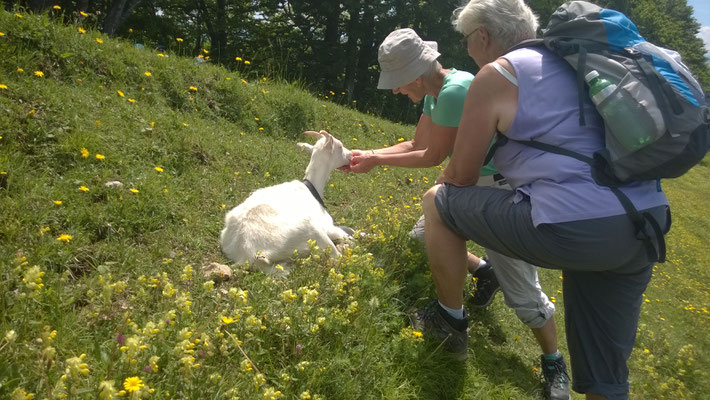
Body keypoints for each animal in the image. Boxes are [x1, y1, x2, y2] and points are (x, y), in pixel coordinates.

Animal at [221, 130, 354, 274]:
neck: (311, 187)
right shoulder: (327, 225)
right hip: (313, 231)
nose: (351, 155)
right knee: (336, 256)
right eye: (340, 146)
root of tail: (246, 255)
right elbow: (346, 234)